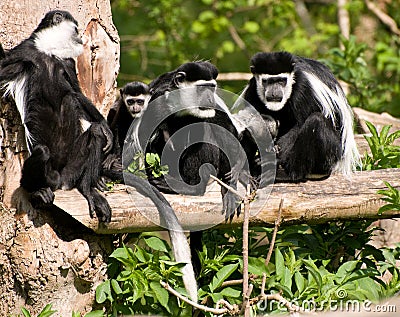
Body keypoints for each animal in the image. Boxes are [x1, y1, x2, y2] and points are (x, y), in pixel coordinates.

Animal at [239, 51, 360, 180]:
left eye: (281, 81)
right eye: (267, 81)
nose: (274, 92)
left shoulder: (303, 86)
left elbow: (299, 124)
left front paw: (271, 156)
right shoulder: (253, 89)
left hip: (334, 151)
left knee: (316, 122)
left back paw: (293, 170)